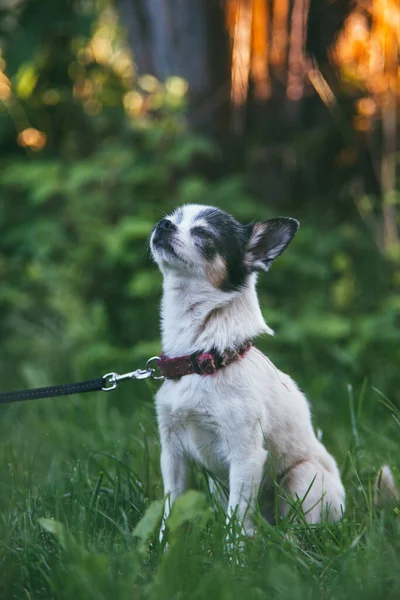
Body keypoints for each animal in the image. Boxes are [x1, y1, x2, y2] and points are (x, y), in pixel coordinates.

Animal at [149, 205, 344, 536]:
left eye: (203, 234)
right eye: (172, 218)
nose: (163, 224)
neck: (201, 357)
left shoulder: (246, 457)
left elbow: (236, 519)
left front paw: (233, 551)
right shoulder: (172, 454)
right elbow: (170, 509)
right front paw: (163, 545)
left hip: (302, 480)